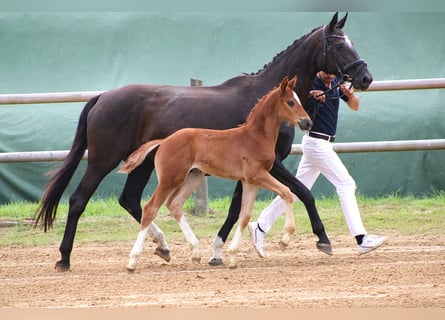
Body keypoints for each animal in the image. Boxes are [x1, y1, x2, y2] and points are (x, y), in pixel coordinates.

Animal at [36, 12, 372, 270]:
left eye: (352, 43)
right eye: (338, 45)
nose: (365, 78)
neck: (263, 104)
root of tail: (102, 97)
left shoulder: (248, 171)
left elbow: (237, 210)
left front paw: (218, 251)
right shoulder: (272, 163)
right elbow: (303, 192)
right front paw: (322, 239)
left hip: (143, 164)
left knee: (132, 200)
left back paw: (163, 246)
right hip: (102, 160)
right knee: (79, 200)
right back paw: (64, 258)